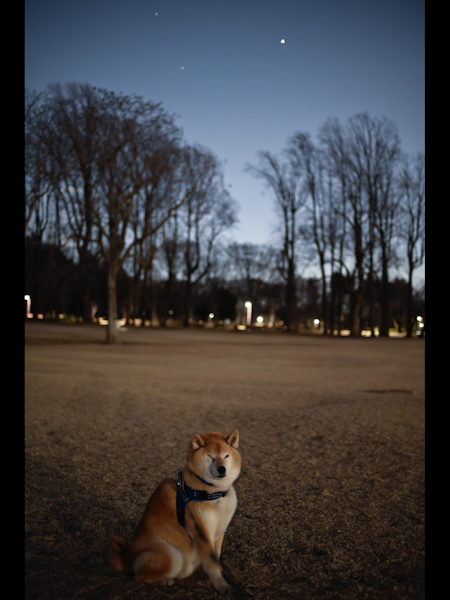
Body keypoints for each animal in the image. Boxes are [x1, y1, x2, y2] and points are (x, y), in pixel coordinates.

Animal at [109, 430, 241, 594]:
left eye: (226, 456)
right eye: (210, 456)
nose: (221, 468)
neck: (214, 493)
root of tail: (128, 557)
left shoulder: (218, 532)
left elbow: (215, 558)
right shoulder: (202, 532)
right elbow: (212, 563)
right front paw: (221, 585)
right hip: (172, 554)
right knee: (139, 576)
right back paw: (163, 580)